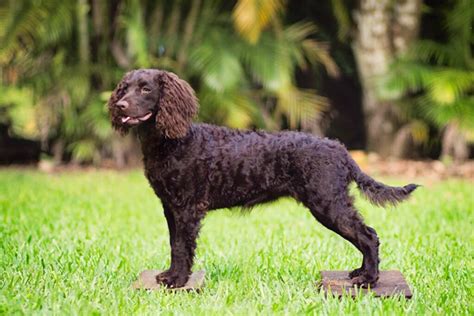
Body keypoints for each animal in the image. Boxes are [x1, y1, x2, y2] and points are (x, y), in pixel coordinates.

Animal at [108, 68, 418, 288]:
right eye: (124, 88)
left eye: (145, 88)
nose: (120, 105)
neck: (175, 141)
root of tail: (340, 149)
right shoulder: (170, 207)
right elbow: (175, 245)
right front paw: (170, 275)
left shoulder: (187, 209)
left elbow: (183, 247)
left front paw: (177, 281)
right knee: (367, 235)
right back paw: (361, 273)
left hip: (328, 203)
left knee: (368, 236)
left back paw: (369, 280)